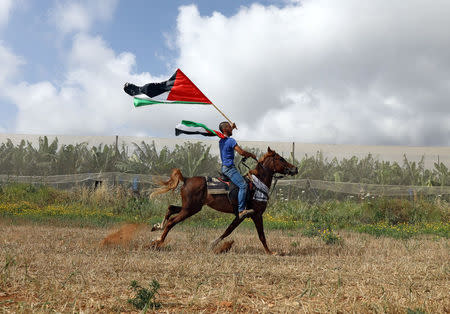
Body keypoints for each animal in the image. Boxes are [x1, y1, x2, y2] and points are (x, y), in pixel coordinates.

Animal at [150, 147, 298, 253]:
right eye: (281, 159)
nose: (295, 168)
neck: (257, 183)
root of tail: (186, 179)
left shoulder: (240, 216)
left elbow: (228, 231)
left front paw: (212, 245)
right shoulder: (256, 215)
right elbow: (261, 235)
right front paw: (270, 252)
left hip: (191, 207)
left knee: (170, 208)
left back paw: (157, 226)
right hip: (189, 209)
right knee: (172, 222)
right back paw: (158, 241)